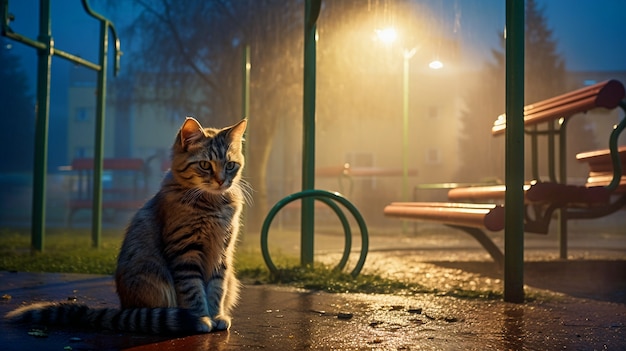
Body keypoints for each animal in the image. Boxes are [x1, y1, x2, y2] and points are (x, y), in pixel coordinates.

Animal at [6, 118, 249, 336]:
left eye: (230, 165)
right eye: (205, 165)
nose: (221, 181)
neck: (212, 203)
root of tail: (122, 309)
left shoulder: (222, 253)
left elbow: (217, 289)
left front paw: (216, 316)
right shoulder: (185, 252)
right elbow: (194, 291)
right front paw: (202, 318)